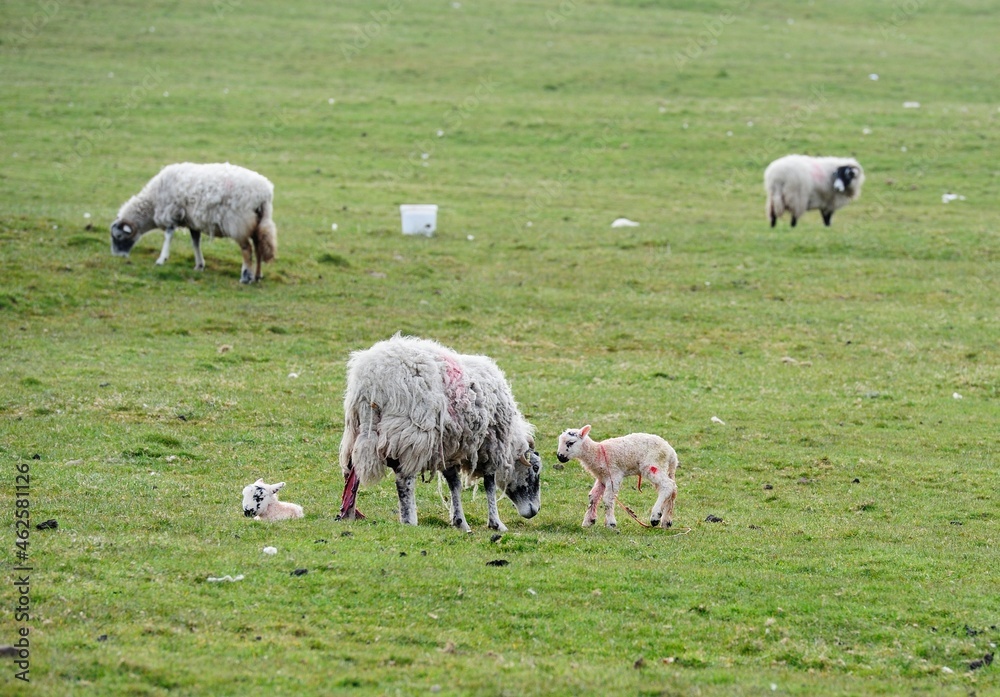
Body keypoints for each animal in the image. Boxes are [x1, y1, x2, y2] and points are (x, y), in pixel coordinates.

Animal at [110, 162, 278, 283]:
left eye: (118, 236)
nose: (117, 256)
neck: (152, 203)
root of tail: (264, 193)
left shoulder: (171, 213)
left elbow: (168, 236)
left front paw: (161, 259)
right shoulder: (192, 222)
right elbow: (195, 242)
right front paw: (199, 265)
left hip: (238, 223)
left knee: (247, 249)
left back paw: (245, 277)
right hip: (259, 221)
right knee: (258, 247)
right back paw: (257, 275)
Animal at [337, 334, 541, 532]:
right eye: (536, 468)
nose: (535, 510)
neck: (510, 444)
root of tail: (371, 377)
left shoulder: (449, 448)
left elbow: (454, 484)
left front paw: (460, 522)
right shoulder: (490, 447)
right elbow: (489, 484)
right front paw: (496, 523)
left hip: (359, 428)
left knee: (351, 471)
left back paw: (348, 513)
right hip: (410, 433)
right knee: (404, 478)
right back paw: (408, 519)